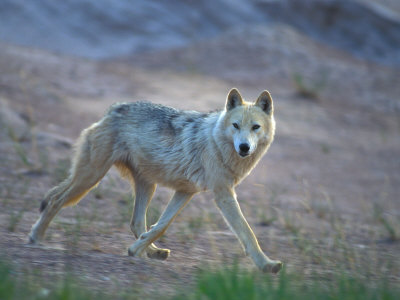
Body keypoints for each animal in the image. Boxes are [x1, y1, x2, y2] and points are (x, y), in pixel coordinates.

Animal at [28, 88, 282, 274]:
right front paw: (267, 265)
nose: (244, 147)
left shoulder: (185, 191)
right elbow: (247, 232)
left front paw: (136, 249)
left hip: (145, 186)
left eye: (255, 127)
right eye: (236, 126)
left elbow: (161, 225)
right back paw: (36, 239)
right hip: (91, 178)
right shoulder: (223, 194)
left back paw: (151, 252)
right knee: (55, 201)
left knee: (136, 222)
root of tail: (113, 109)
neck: (216, 142)